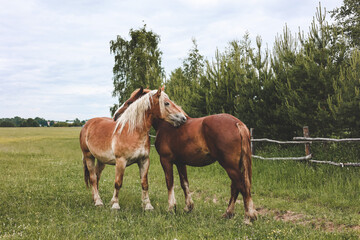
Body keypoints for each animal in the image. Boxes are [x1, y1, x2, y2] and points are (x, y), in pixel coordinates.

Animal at [116, 88, 258, 223]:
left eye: (130, 102)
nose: (116, 116)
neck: (167, 124)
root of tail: (237, 123)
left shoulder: (166, 160)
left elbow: (170, 182)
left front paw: (171, 208)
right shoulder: (180, 162)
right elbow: (184, 183)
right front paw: (188, 207)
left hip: (229, 165)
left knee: (242, 186)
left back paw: (248, 216)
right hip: (234, 165)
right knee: (236, 187)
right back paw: (228, 214)